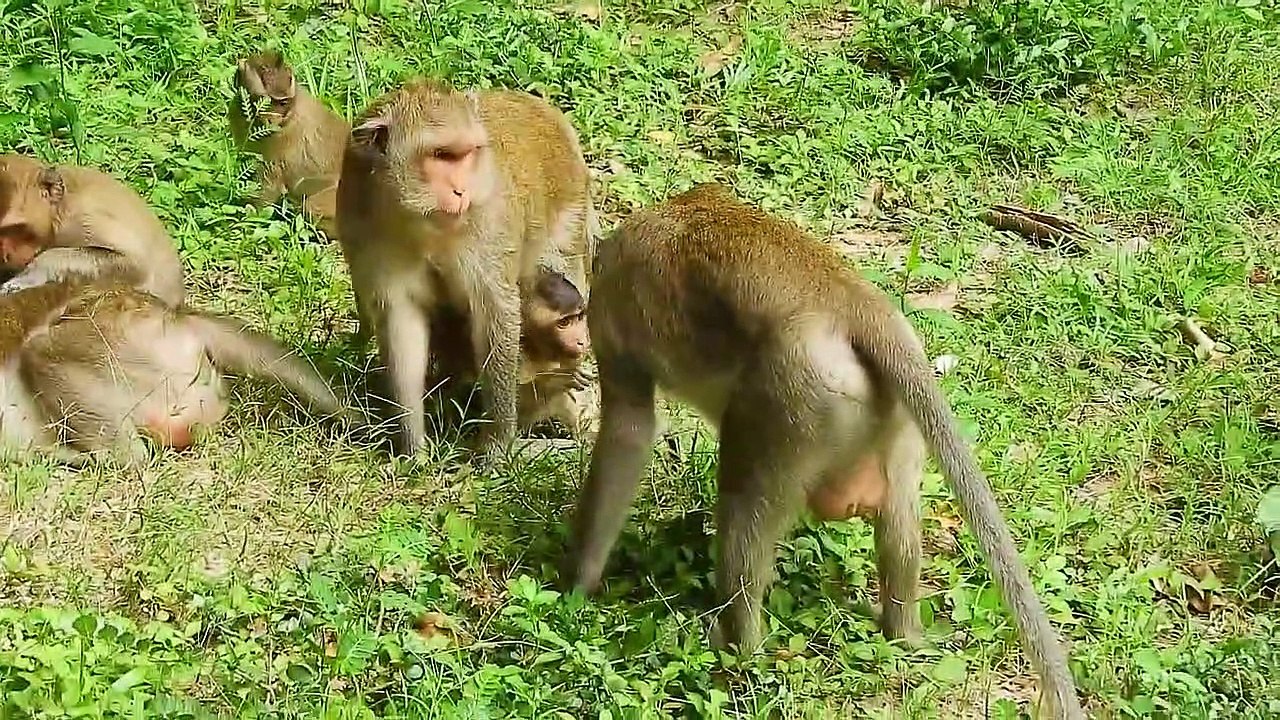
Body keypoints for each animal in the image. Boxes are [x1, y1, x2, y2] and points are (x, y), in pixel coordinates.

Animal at [0, 154, 186, 307]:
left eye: (15, 228)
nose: (5, 255)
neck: (59, 210)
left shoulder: (84, 217)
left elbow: (136, 265)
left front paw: (30, 274)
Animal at [335, 78, 595, 463]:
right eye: (442, 155)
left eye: (467, 154)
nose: (462, 190)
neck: (422, 222)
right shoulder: (361, 220)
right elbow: (401, 321)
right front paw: (413, 447)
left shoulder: (490, 222)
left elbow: (496, 314)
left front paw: (499, 445)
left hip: (569, 212)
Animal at [561, 184, 1084, 719]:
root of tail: (849, 301)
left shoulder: (609, 302)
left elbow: (629, 430)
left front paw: (578, 583)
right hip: (891, 413)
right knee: (898, 519)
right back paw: (902, 633)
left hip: (792, 395)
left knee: (743, 516)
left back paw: (740, 655)